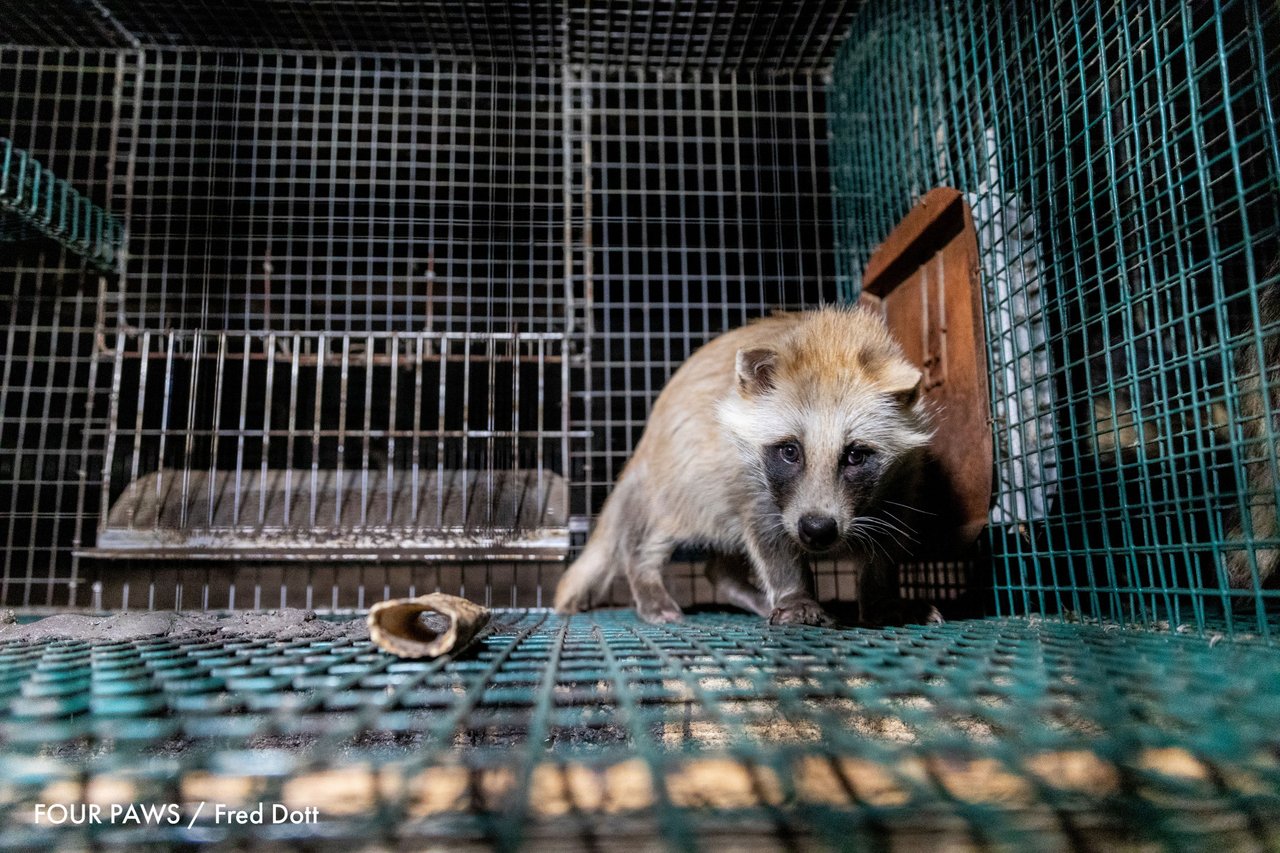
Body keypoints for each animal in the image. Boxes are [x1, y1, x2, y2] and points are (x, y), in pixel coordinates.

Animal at [555, 307, 936, 625]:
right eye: (790, 451)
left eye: (855, 455)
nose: (817, 530)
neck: (830, 338)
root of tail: (646, 441)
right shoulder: (749, 479)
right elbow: (771, 539)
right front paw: (794, 593)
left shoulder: (898, 483)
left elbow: (884, 544)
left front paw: (881, 598)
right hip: (681, 481)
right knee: (649, 536)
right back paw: (647, 580)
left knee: (719, 567)